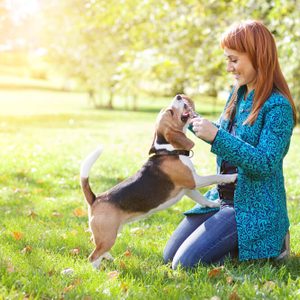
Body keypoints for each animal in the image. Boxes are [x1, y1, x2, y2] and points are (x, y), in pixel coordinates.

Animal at [79, 94, 237, 268]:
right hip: (108, 235)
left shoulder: (188, 188)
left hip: (110, 232)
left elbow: (201, 198)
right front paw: (232, 177)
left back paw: (109, 258)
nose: (179, 95)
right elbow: (214, 177)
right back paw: (98, 269)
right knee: (93, 256)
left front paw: (213, 204)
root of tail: (95, 199)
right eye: (170, 111)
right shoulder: (194, 180)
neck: (169, 150)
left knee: (96, 245)